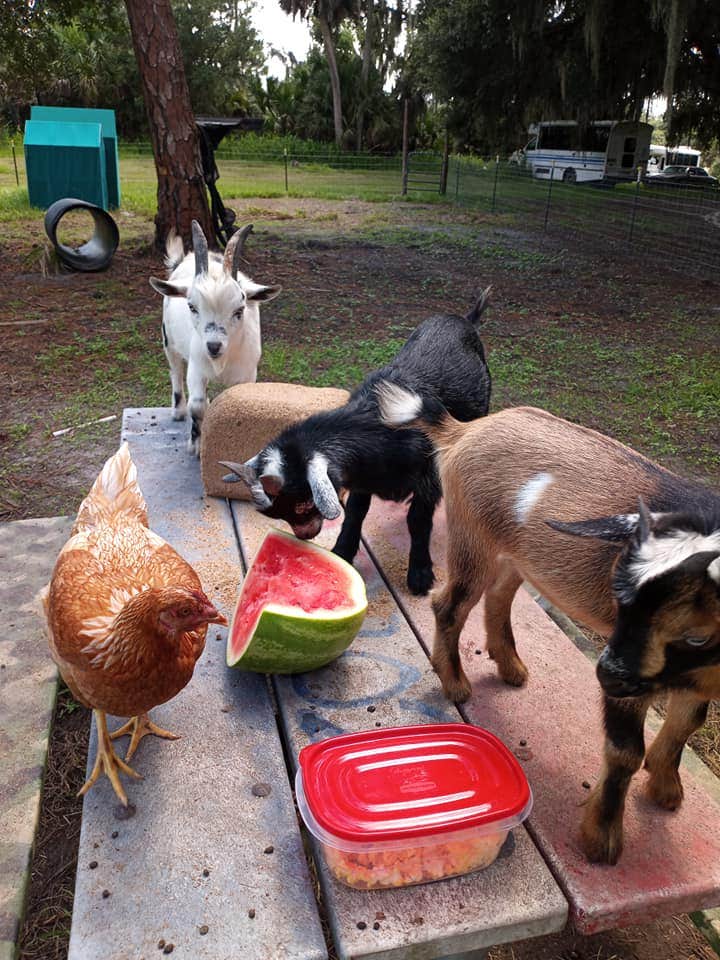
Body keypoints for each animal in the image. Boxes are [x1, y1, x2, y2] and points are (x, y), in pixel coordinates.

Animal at [148, 221, 282, 454]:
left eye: (239, 310)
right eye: (192, 307)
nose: (213, 346)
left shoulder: (247, 375)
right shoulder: (197, 367)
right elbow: (197, 404)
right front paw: (196, 444)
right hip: (168, 341)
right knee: (175, 370)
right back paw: (178, 411)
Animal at [222, 292, 492, 592]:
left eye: (303, 504)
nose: (304, 536)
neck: (379, 427)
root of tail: (464, 318)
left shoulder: (428, 475)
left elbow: (418, 520)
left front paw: (420, 574)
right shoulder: (363, 476)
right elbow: (355, 512)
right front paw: (342, 552)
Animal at [376, 386, 720, 868]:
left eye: (696, 634)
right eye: (622, 600)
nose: (606, 674)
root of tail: (464, 431)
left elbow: (691, 718)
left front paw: (667, 788)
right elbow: (624, 751)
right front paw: (601, 840)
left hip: (517, 554)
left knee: (499, 595)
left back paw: (510, 667)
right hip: (472, 537)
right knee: (450, 605)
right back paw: (457, 684)